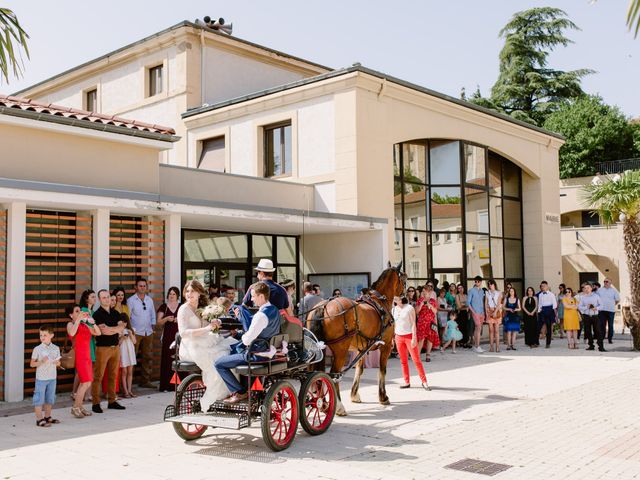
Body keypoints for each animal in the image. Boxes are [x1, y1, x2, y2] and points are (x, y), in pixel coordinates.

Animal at [308, 260, 408, 414]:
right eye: (404, 279)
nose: (405, 298)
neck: (380, 301)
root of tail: (324, 306)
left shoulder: (362, 348)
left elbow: (359, 370)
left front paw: (354, 394)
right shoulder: (386, 346)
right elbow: (382, 370)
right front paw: (383, 397)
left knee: (320, 375)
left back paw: (323, 403)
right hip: (341, 351)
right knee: (334, 374)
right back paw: (338, 406)